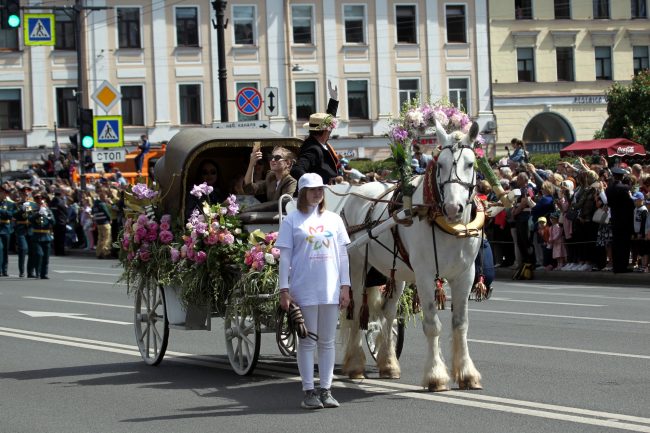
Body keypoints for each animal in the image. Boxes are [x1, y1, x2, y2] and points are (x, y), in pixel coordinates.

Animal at [340, 120, 480, 390]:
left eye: (470, 163)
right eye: (441, 164)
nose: (453, 208)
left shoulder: (465, 274)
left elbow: (461, 324)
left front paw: (467, 374)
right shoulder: (425, 275)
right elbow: (433, 325)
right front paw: (436, 376)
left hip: (396, 273)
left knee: (387, 312)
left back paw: (388, 364)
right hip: (356, 266)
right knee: (355, 311)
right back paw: (354, 365)